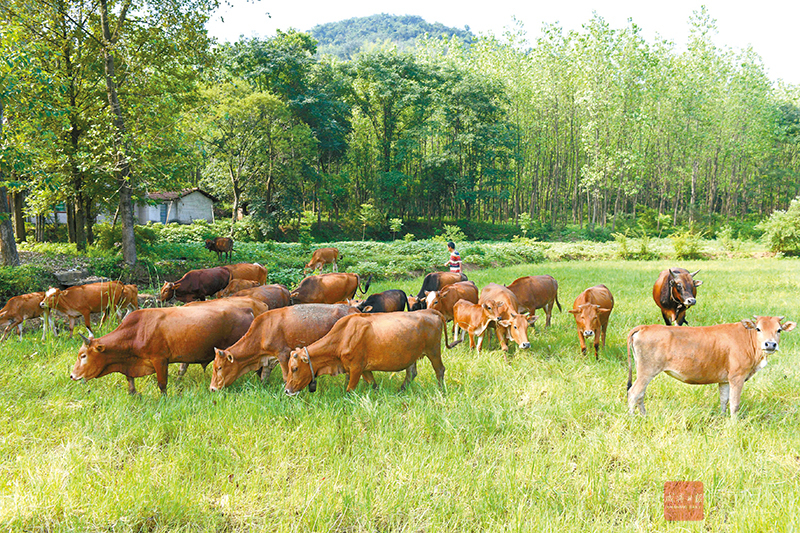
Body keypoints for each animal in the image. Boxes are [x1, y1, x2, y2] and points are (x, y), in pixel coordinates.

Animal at [71, 304, 255, 394]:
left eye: (83, 355)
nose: (72, 376)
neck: (137, 330)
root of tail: (246, 309)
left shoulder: (160, 360)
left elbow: (162, 384)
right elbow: (130, 379)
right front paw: (133, 393)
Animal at [209, 304, 356, 390]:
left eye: (219, 367)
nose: (212, 388)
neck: (262, 331)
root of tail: (352, 309)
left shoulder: (283, 354)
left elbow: (286, 377)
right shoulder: (269, 359)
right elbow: (264, 377)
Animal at [286, 308, 450, 394]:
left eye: (294, 368)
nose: (287, 390)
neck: (342, 336)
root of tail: (429, 310)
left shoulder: (356, 367)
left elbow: (350, 390)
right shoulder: (364, 368)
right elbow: (373, 384)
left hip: (433, 350)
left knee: (440, 369)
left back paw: (441, 390)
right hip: (413, 354)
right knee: (411, 373)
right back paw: (401, 390)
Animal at [628, 316, 796, 416]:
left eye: (778, 330)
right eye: (758, 328)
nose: (770, 344)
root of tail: (645, 327)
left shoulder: (725, 380)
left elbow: (724, 399)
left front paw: (723, 418)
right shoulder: (737, 377)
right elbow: (734, 403)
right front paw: (734, 425)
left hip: (643, 372)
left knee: (640, 394)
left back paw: (644, 416)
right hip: (647, 372)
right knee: (633, 393)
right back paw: (632, 418)